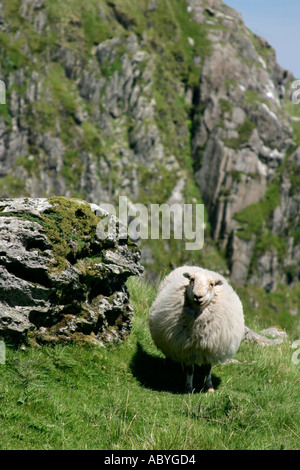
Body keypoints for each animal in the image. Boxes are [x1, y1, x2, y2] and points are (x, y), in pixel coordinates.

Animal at [149, 264, 245, 392]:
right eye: (192, 280)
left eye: (211, 284)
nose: (198, 296)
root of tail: (195, 266)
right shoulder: (187, 347)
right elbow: (190, 370)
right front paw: (189, 389)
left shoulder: (209, 346)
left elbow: (207, 369)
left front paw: (209, 387)